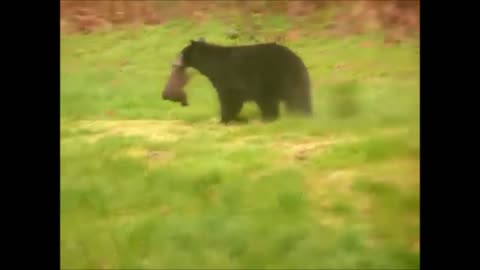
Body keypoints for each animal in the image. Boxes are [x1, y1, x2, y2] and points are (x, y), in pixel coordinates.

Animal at [161, 38, 314, 124]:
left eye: (181, 53)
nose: (174, 63)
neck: (212, 64)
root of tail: (297, 60)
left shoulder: (228, 77)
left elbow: (229, 98)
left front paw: (224, 119)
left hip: (275, 78)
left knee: (286, 100)